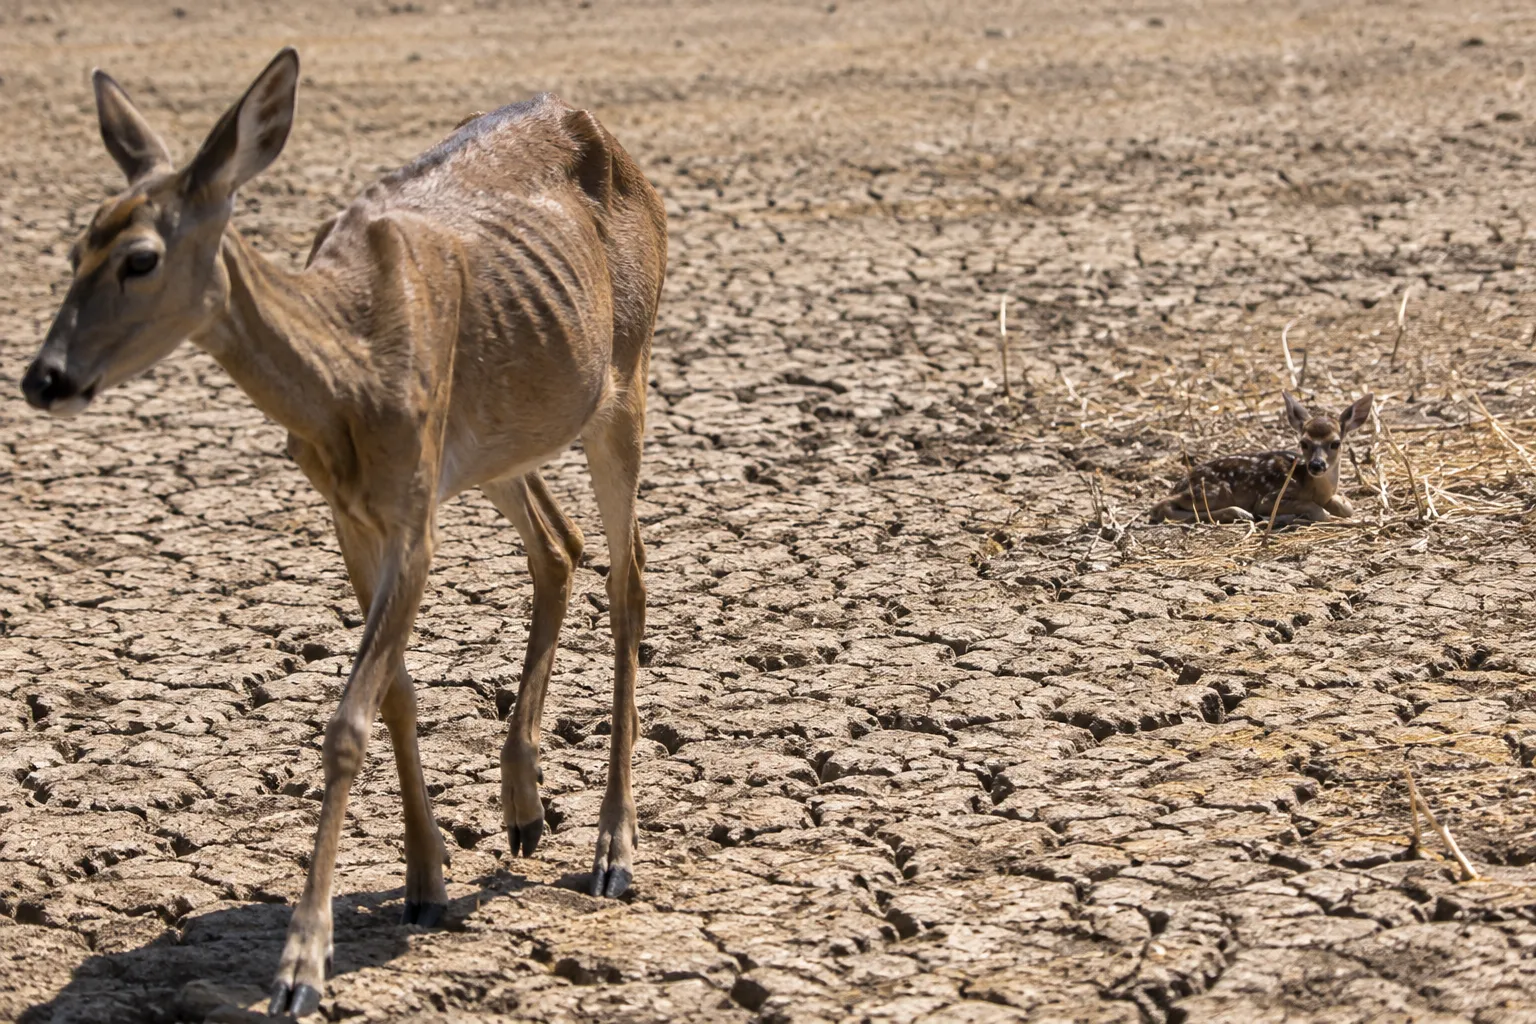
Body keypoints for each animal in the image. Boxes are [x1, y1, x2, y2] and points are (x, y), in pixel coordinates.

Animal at [18, 49, 666, 1016]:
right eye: (75, 247)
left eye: (140, 257)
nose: (45, 377)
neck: (351, 366)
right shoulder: (352, 510)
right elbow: (395, 693)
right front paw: (427, 884)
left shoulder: (413, 513)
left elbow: (348, 718)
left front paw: (301, 967)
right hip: (506, 437)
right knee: (559, 548)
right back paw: (522, 810)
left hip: (624, 377)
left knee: (629, 579)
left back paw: (613, 853)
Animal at [1150, 393, 1374, 525]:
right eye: (1303, 443)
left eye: (1335, 443)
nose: (1317, 465)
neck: (1313, 488)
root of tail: (1179, 484)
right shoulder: (1270, 497)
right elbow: (1319, 511)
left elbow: (1347, 507)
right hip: (1215, 490)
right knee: (1163, 505)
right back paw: (1240, 513)